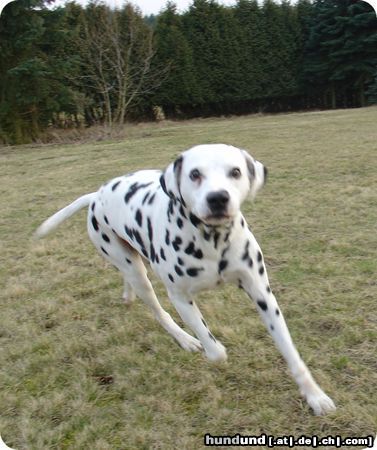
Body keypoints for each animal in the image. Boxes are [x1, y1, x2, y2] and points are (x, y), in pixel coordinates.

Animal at [36, 143, 334, 414]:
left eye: (235, 172)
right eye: (195, 174)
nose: (217, 198)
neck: (213, 241)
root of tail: (97, 195)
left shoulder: (263, 295)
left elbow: (291, 353)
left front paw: (315, 396)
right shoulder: (180, 297)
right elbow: (215, 350)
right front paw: (208, 346)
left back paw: (127, 295)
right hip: (138, 273)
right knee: (158, 311)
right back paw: (184, 339)